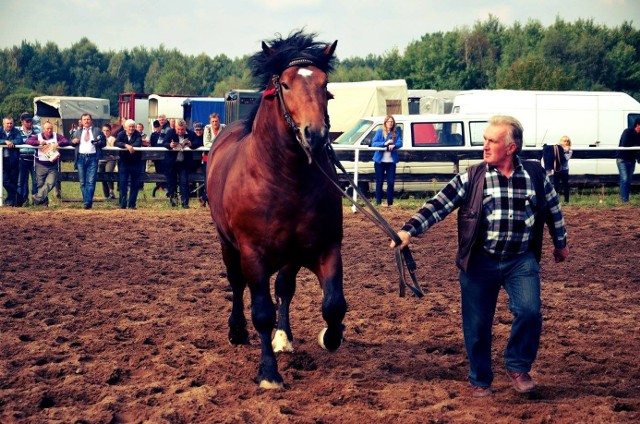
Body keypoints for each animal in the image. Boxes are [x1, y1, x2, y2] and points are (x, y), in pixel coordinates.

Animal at [206, 32, 344, 390]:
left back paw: (284, 338)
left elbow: (333, 304)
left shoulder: (326, 247)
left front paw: (330, 337)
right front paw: (268, 373)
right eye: (284, 84)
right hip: (228, 245)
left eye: (325, 84)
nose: (315, 134)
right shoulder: (253, 254)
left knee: (284, 287)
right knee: (237, 284)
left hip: (290, 256)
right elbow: (262, 312)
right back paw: (237, 331)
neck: (287, 179)